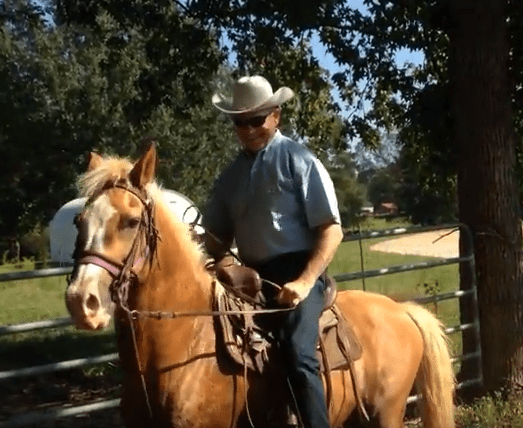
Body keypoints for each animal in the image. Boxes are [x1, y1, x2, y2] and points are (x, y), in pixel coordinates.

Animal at [65, 144, 455, 428]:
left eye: (131, 221)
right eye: (78, 220)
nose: (81, 302)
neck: (185, 344)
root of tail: (401, 310)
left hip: (387, 414)